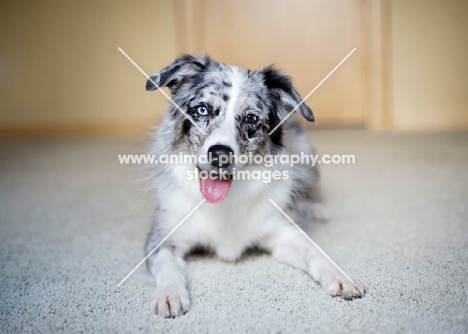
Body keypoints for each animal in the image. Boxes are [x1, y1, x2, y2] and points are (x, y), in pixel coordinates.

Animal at [144, 55, 364, 318]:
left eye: (250, 118)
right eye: (202, 109)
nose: (220, 155)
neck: (225, 204)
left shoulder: (282, 233)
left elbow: (314, 250)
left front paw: (340, 276)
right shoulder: (162, 238)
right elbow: (166, 264)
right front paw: (170, 294)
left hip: (307, 154)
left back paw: (316, 208)